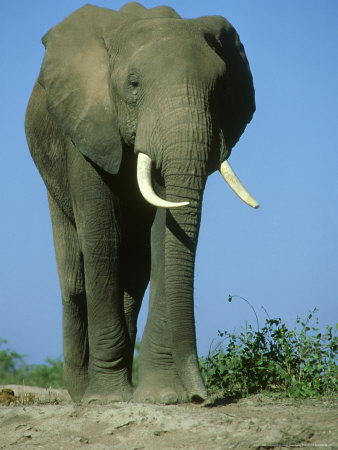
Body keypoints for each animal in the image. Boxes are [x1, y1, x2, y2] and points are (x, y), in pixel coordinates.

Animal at [25, 1, 258, 404]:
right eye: (133, 85)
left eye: (222, 87)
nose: (200, 396)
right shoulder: (87, 127)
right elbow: (102, 236)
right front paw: (105, 400)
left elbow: (164, 237)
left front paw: (161, 397)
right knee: (75, 276)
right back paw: (80, 393)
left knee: (134, 274)